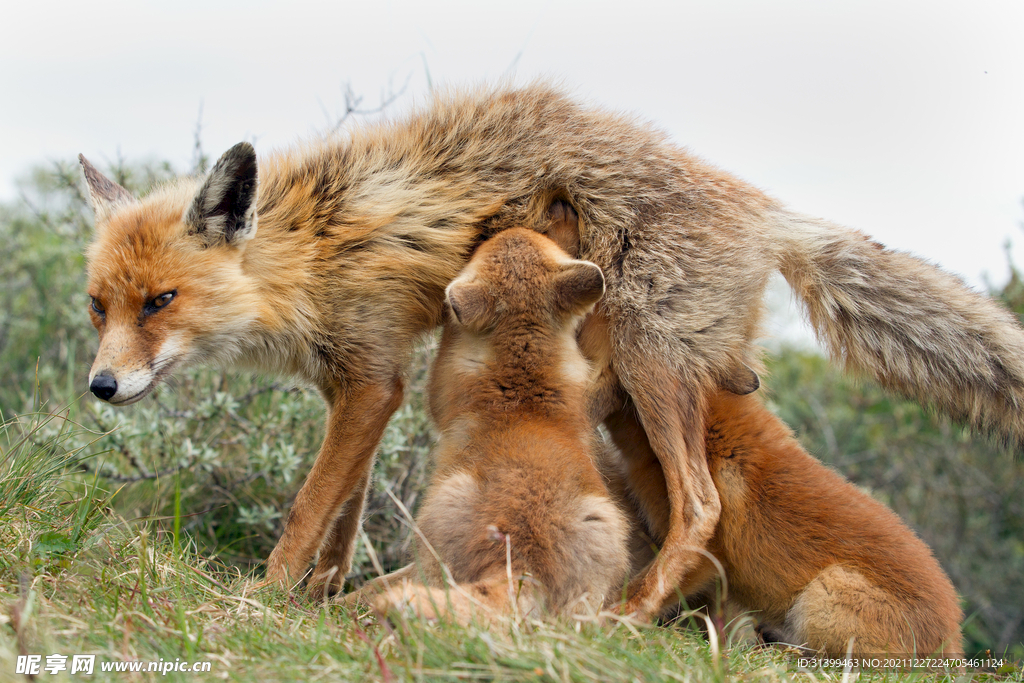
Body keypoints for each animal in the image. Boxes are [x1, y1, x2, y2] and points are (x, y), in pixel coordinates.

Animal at [348, 229, 626, 626]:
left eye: (483, 248)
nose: (512, 228)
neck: (524, 385)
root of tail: (525, 563)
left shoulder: (440, 391)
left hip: (438, 510)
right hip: (606, 528)